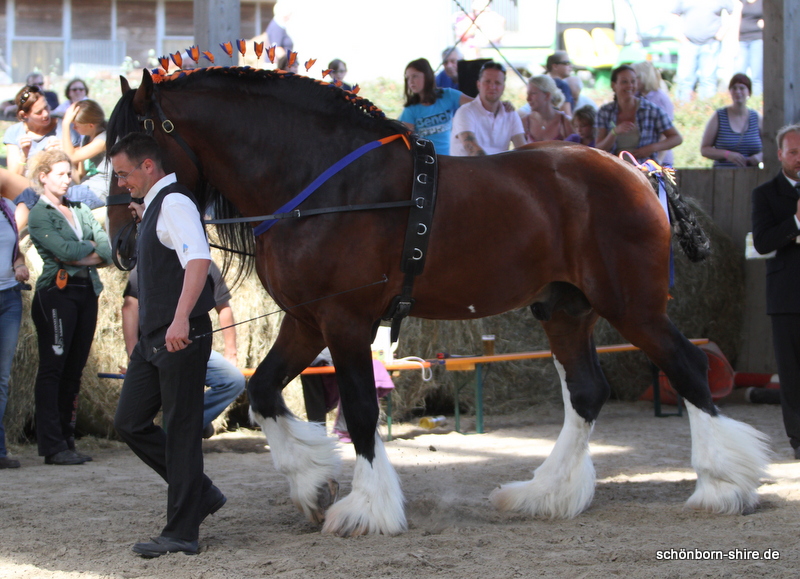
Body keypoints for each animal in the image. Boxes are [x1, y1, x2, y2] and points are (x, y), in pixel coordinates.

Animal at [106, 67, 768, 536]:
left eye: (134, 145)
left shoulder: (345, 322)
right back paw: (545, 495)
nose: (121, 244)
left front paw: (366, 508)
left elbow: (361, 412)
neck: (321, 184)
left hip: (633, 306)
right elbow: (266, 392)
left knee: (688, 369)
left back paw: (722, 488)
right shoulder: (306, 320)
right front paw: (313, 485)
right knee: (586, 392)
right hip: (565, 309)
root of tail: (637, 171)